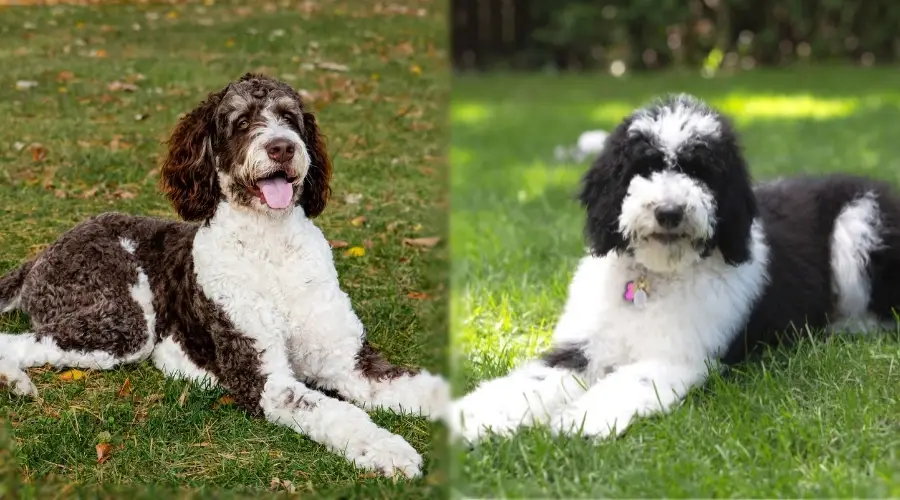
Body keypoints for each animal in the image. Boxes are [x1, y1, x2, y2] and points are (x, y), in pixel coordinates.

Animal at [0, 73, 448, 476]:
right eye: (242, 122)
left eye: (290, 117)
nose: (282, 147)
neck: (272, 248)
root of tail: (43, 255)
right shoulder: (263, 378)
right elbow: (334, 412)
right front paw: (388, 449)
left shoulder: (349, 362)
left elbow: (422, 386)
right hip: (124, 324)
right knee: (22, 340)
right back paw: (14, 382)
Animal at [450, 93, 900, 442]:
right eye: (643, 167)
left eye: (700, 172)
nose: (669, 212)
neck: (654, 279)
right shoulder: (583, 346)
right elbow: (531, 381)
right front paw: (470, 417)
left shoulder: (681, 356)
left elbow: (630, 380)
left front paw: (582, 419)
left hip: (858, 224)